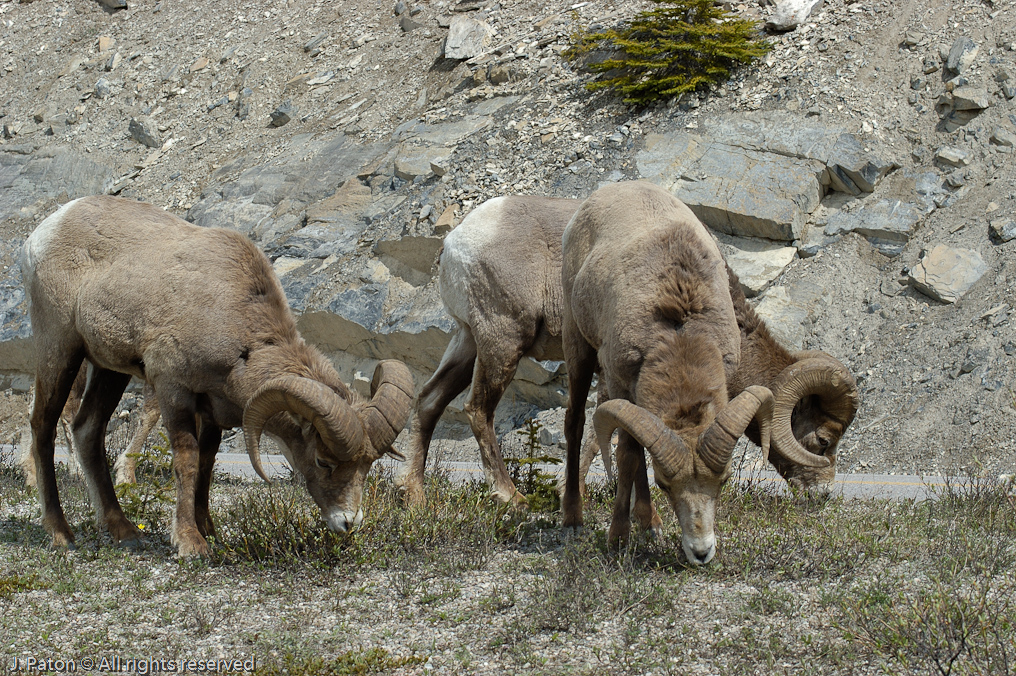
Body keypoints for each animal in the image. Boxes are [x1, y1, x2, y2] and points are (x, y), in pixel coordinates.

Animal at [22, 195, 414, 557]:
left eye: (367, 466)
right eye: (322, 461)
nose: (348, 523)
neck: (230, 319)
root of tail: (45, 231)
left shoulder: (212, 409)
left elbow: (206, 464)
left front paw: (208, 530)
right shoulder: (172, 389)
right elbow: (187, 459)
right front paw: (190, 543)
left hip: (108, 369)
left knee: (87, 430)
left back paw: (125, 532)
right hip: (60, 348)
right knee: (43, 426)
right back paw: (61, 534)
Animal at [560, 181, 774, 565]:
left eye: (723, 481)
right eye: (664, 484)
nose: (701, 552)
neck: (680, 328)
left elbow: (637, 455)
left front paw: (644, 528)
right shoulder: (619, 384)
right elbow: (627, 456)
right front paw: (618, 539)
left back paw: (651, 524)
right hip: (577, 345)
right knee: (575, 422)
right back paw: (573, 519)